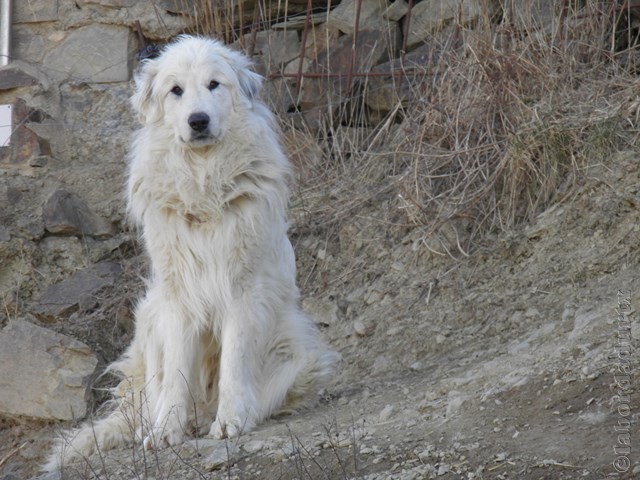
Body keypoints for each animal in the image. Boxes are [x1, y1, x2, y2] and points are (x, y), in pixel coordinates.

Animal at [46, 35, 336, 470]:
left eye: (214, 84)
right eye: (176, 91)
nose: (198, 120)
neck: (203, 183)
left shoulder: (243, 291)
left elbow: (234, 360)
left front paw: (231, 421)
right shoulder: (178, 297)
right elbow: (177, 374)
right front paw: (167, 431)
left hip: (296, 351)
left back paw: (228, 416)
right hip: (150, 316)